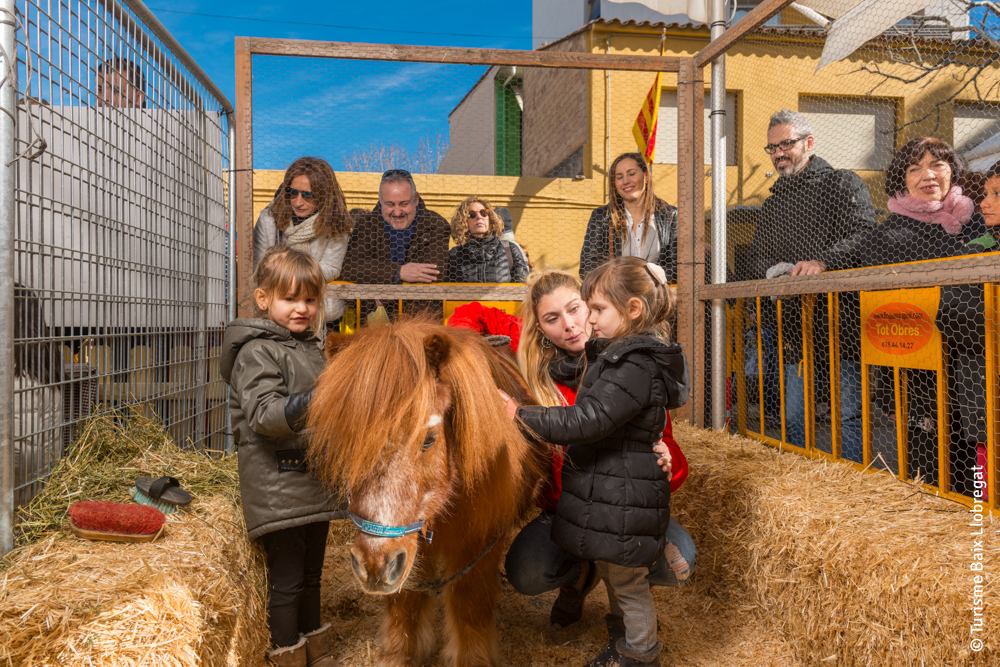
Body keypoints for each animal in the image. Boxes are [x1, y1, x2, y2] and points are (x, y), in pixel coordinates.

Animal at [307, 319, 550, 667]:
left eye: (429, 438)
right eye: (348, 439)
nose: (372, 565)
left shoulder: (480, 541)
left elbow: (470, 602)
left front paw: (472, 658)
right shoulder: (409, 545)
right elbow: (406, 602)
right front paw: (400, 654)